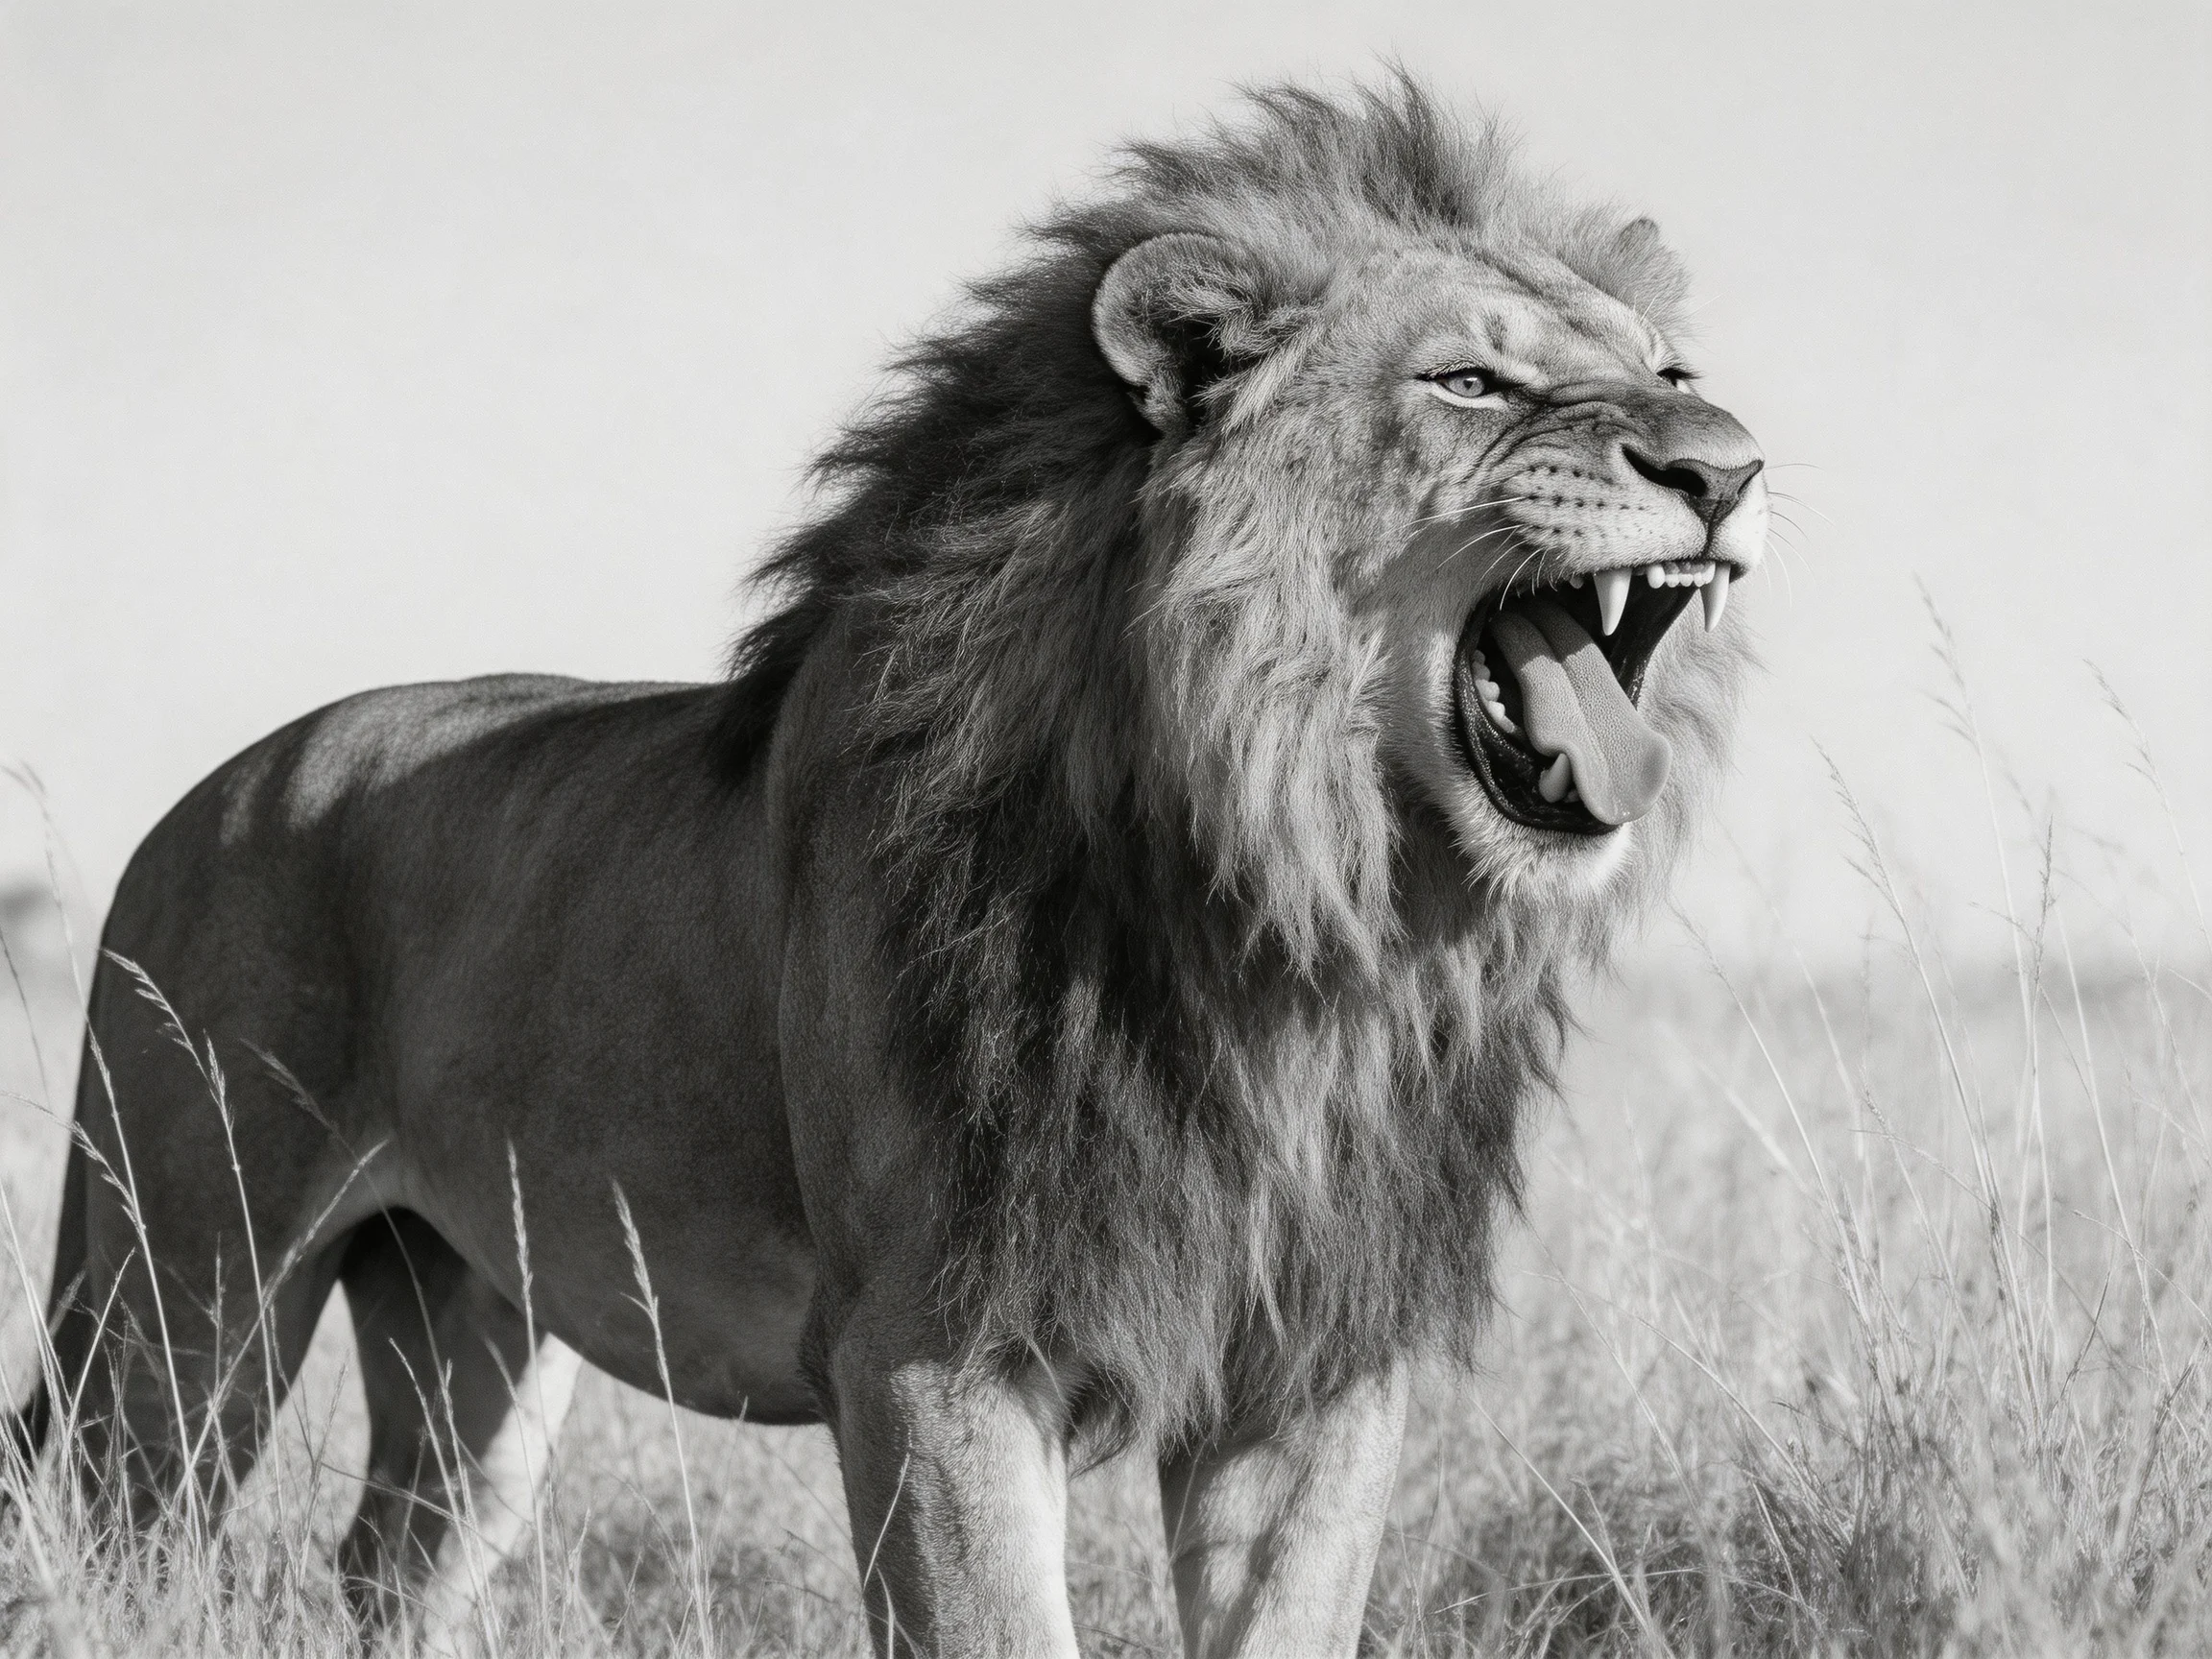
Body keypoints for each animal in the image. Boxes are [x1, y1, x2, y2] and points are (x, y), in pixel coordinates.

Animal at [10, 78, 1764, 1656]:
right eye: (1469, 380)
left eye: (1671, 372)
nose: (1728, 464)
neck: (1292, 906)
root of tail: (192, 805)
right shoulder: (930, 1353)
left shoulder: (1311, 1364)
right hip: (186, 1296)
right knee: (106, 1536)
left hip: (466, 1327)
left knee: (389, 1563)